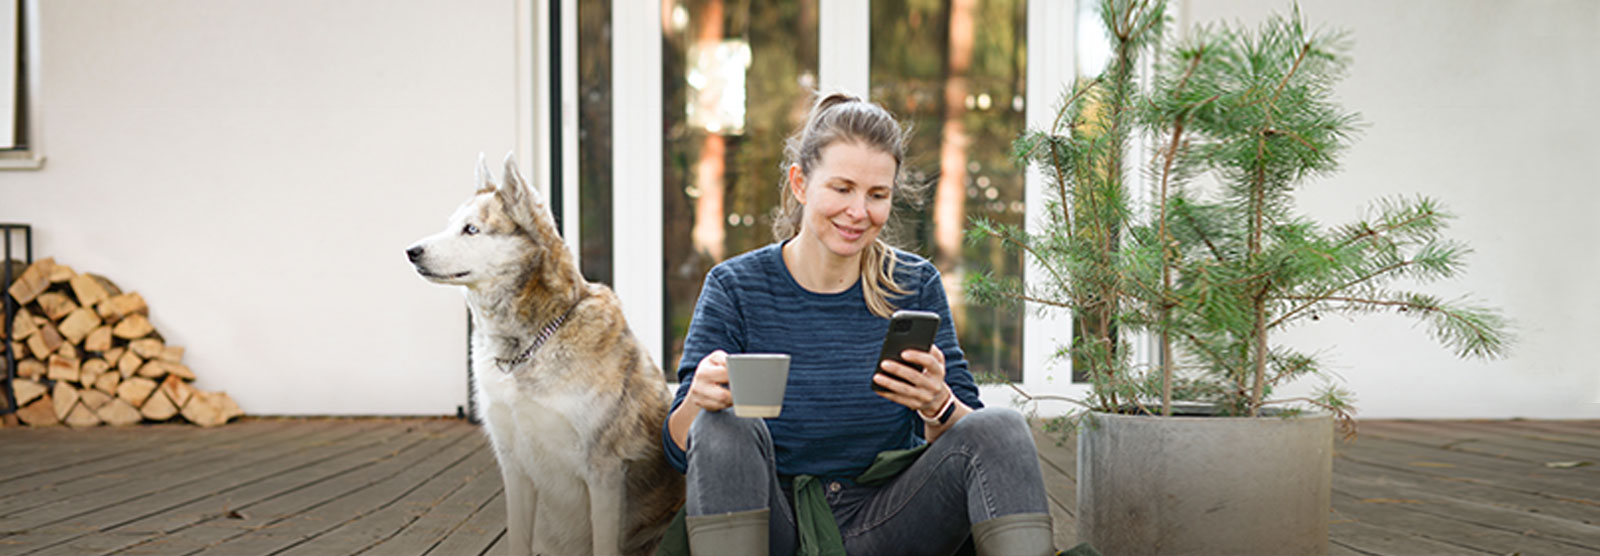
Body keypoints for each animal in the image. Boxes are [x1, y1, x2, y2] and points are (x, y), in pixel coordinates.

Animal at [406, 154, 681, 552]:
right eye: (450, 225)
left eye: (471, 230)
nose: (411, 252)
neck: (528, 347)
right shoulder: (514, 465)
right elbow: (518, 537)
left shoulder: (604, 470)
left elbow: (604, 542)